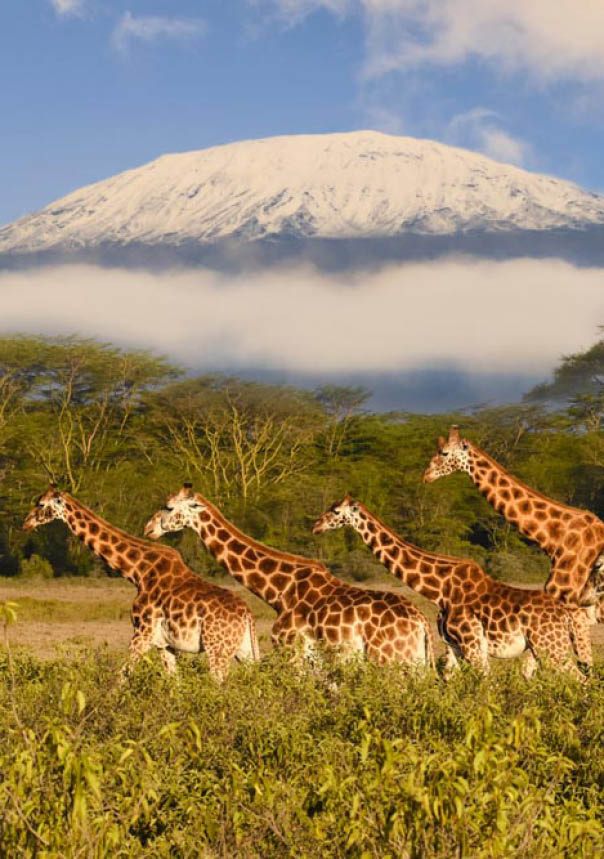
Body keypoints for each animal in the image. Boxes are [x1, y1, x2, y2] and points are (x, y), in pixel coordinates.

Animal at [22, 487, 259, 681]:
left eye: (41, 504)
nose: (25, 523)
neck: (137, 572)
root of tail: (247, 615)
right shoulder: (165, 644)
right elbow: (174, 684)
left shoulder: (142, 633)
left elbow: (121, 677)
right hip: (244, 651)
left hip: (217, 650)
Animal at [143, 484, 435, 669]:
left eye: (168, 507)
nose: (148, 529)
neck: (279, 590)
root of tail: (422, 623)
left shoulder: (290, 651)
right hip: (414, 664)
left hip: (388, 660)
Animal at [312, 495, 587, 682]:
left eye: (335, 511)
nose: (316, 526)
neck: (440, 589)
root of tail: (564, 613)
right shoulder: (453, 646)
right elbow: (449, 683)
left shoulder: (472, 644)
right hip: (543, 647)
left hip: (550, 646)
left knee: (579, 678)